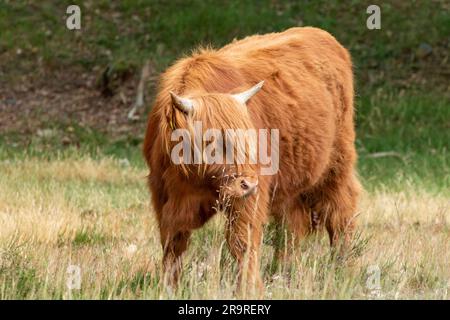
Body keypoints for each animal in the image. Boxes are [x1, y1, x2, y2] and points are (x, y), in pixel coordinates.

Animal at [144, 27, 362, 292]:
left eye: (249, 139)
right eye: (210, 140)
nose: (248, 183)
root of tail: (318, 33)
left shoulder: (249, 200)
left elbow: (241, 242)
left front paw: (249, 288)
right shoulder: (163, 195)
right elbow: (172, 243)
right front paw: (169, 287)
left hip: (336, 165)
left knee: (340, 212)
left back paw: (344, 268)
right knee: (290, 228)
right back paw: (283, 273)